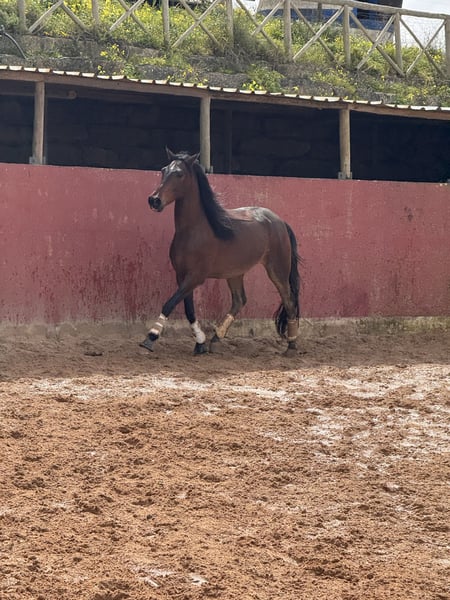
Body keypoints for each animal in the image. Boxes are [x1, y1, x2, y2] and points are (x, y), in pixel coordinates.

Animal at [140, 149, 301, 355]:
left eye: (179, 174)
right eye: (163, 170)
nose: (154, 200)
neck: (194, 231)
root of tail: (280, 222)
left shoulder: (195, 277)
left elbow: (169, 303)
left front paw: (151, 337)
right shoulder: (182, 275)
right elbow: (188, 309)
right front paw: (200, 343)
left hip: (277, 270)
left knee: (289, 301)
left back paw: (291, 346)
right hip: (235, 273)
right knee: (239, 300)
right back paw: (215, 339)